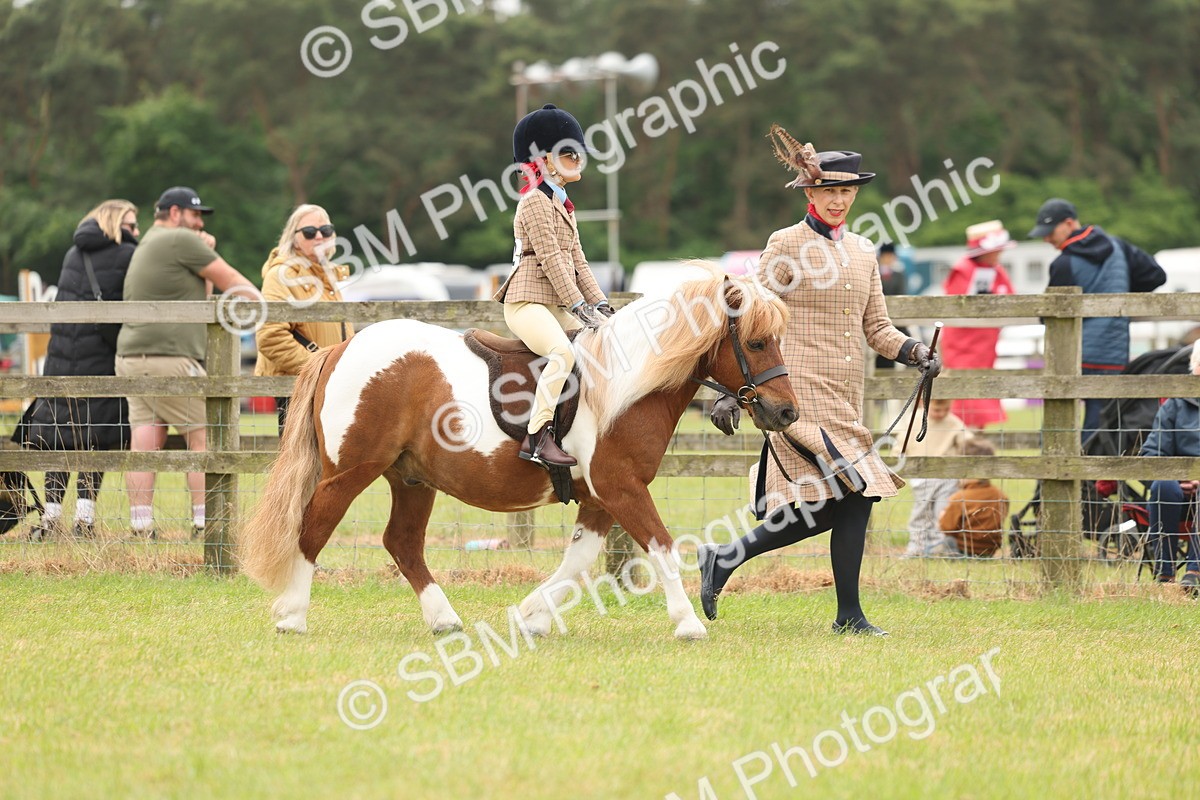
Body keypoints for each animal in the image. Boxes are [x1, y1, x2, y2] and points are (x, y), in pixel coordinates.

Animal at [239, 265, 798, 640]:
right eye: (757, 342)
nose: (787, 413)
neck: (627, 385)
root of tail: (341, 348)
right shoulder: (621, 486)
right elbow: (660, 545)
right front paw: (687, 623)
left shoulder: (600, 497)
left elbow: (578, 561)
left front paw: (530, 617)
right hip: (351, 470)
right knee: (314, 526)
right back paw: (292, 615)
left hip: (411, 479)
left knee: (402, 543)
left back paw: (445, 620)